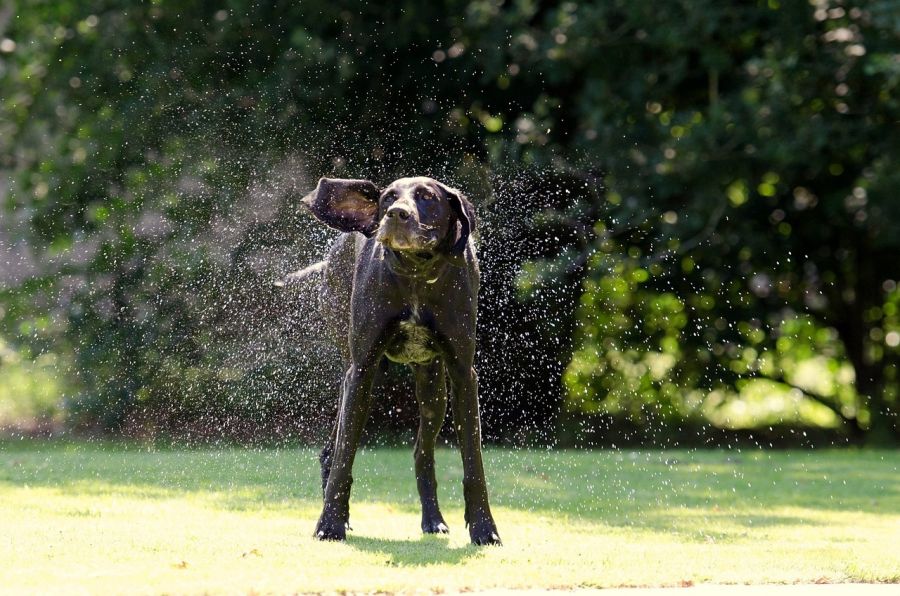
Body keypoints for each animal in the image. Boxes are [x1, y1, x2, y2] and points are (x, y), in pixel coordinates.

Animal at [284, 176, 500, 544]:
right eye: (388, 198)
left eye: (427, 197)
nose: (397, 214)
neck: (416, 271)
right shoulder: (362, 370)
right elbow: (344, 459)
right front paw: (331, 524)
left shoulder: (462, 374)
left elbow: (474, 464)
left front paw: (485, 529)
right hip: (362, 377)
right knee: (332, 450)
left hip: (434, 391)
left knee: (422, 454)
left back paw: (433, 519)